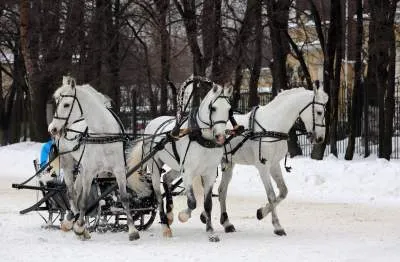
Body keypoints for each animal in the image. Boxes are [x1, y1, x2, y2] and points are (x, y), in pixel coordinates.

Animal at [48, 76, 145, 242]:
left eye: (66, 104)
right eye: (56, 103)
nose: (52, 128)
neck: (103, 134)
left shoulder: (119, 171)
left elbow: (124, 198)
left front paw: (132, 231)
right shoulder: (90, 172)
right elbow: (84, 200)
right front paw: (80, 228)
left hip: (82, 168)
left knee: (77, 191)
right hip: (68, 163)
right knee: (72, 193)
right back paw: (74, 221)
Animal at [128, 80, 233, 242]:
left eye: (229, 109)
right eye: (213, 108)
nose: (221, 136)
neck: (201, 137)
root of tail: (151, 124)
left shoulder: (209, 174)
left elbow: (207, 204)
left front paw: (210, 231)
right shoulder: (188, 172)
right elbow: (192, 202)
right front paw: (183, 216)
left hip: (177, 167)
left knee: (166, 178)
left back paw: (169, 215)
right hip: (155, 166)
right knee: (158, 196)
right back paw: (165, 226)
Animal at [203, 86, 328, 235]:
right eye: (319, 112)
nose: (320, 138)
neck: (273, 124)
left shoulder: (274, 165)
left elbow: (283, 191)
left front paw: (261, 212)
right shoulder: (263, 167)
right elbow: (271, 195)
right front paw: (277, 226)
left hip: (228, 164)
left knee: (221, 191)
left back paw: (226, 223)